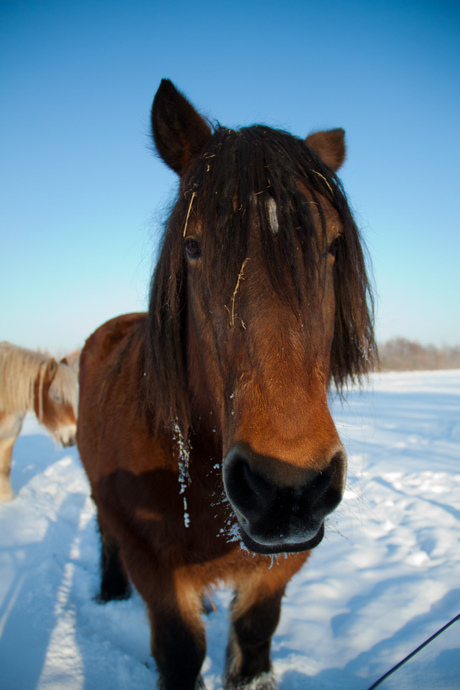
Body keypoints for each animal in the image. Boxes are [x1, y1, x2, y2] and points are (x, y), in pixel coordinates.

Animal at [77, 80, 376, 688]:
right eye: (192, 246)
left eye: (333, 244)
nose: (288, 488)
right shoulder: (156, 570)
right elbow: (180, 651)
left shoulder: (280, 562)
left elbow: (254, 642)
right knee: (103, 533)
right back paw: (110, 592)